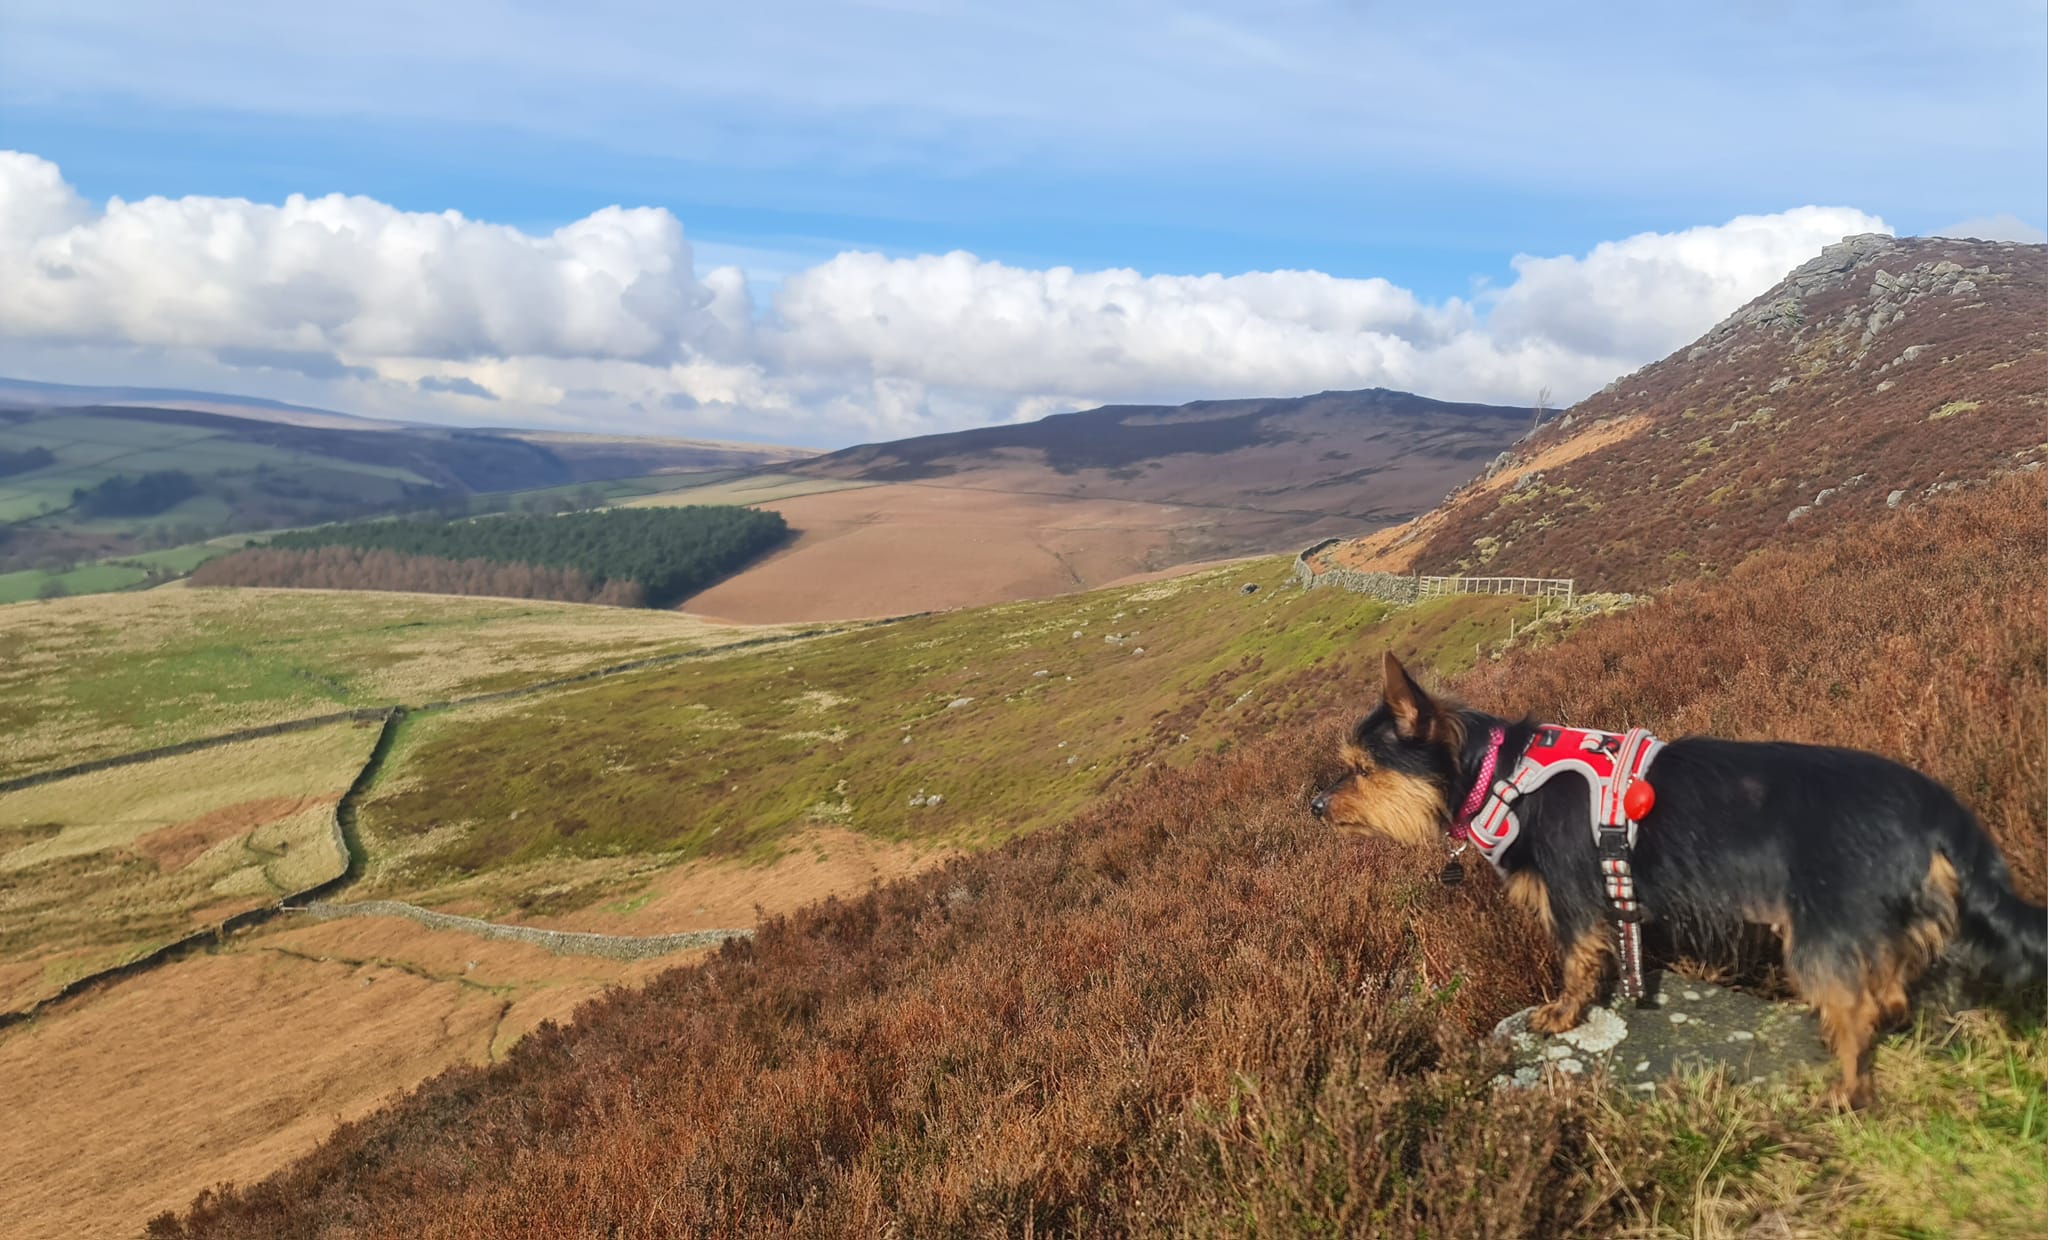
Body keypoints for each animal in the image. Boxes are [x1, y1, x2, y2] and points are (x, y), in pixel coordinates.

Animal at [1310, 651, 2048, 1106]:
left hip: (1823, 929)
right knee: (1888, 994)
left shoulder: (1574, 900)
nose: (1314, 805)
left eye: (1361, 768)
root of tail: (1940, 810)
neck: (1502, 776)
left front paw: (1561, 1015)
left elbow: (1576, 963)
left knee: (1858, 1004)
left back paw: (1843, 1093)